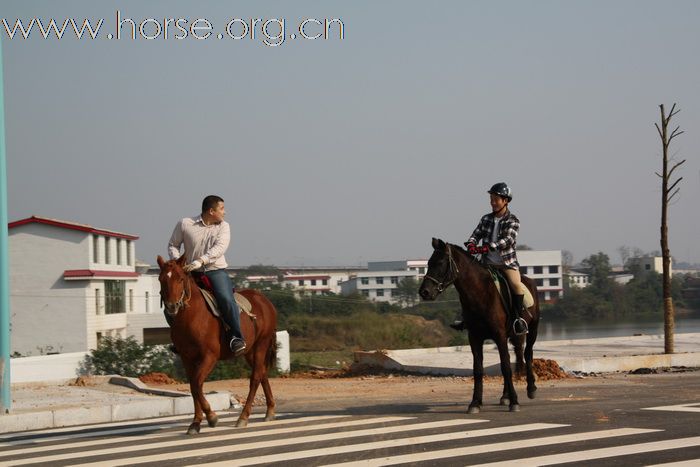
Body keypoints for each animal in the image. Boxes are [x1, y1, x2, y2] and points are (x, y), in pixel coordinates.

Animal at [157, 256, 278, 436]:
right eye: (161, 279)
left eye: (180, 278)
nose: (172, 306)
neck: (192, 317)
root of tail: (264, 301)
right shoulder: (187, 358)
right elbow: (193, 387)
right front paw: (195, 423)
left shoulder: (209, 356)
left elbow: (196, 384)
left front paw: (211, 417)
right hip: (250, 351)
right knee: (262, 373)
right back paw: (270, 410)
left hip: (261, 345)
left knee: (255, 378)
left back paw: (243, 417)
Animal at [418, 239, 540, 414]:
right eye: (428, 263)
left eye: (440, 263)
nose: (424, 292)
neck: (480, 292)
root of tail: (529, 281)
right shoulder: (475, 337)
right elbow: (478, 369)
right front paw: (475, 403)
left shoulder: (499, 335)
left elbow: (505, 367)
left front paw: (514, 402)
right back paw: (505, 396)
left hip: (532, 330)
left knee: (528, 354)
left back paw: (531, 389)